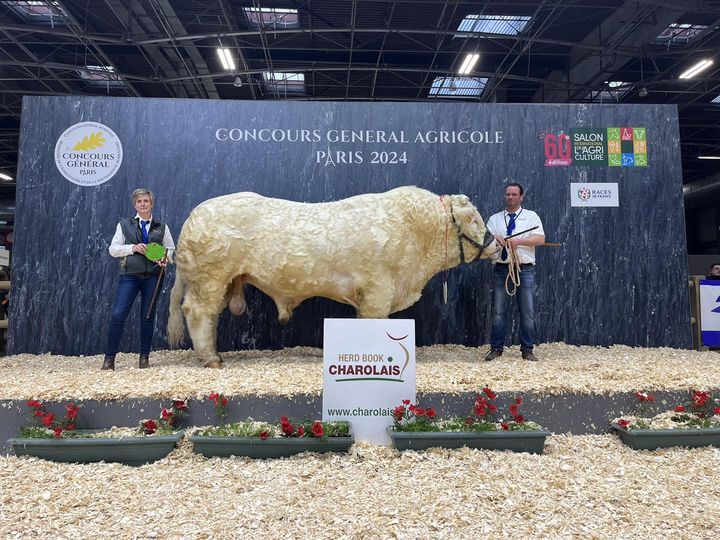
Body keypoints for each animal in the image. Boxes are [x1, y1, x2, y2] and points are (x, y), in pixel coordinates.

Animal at [168, 186, 498, 368]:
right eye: (475, 218)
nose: (496, 243)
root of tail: (194, 214)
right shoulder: (378, 291)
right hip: (209, 278)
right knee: (198, 313)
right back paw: (211, 359)